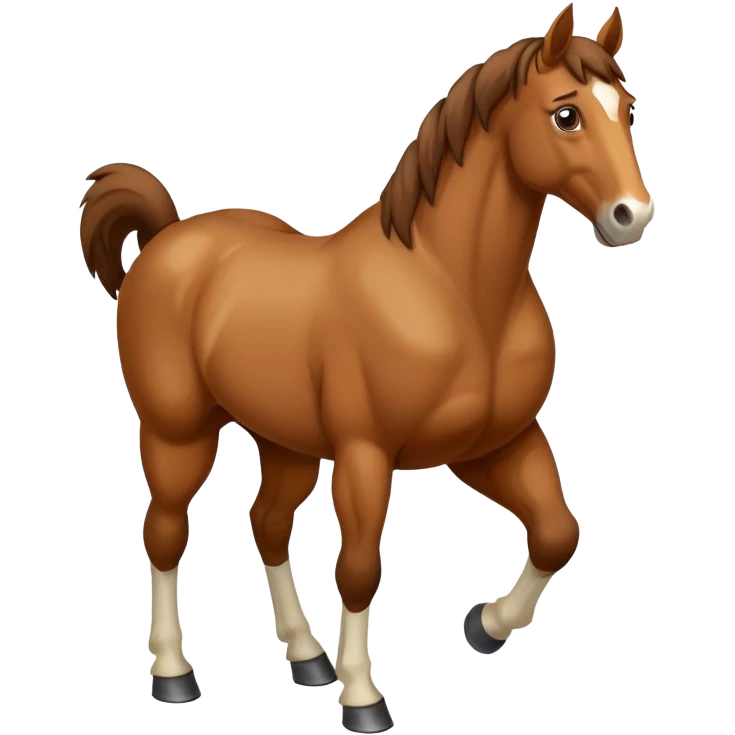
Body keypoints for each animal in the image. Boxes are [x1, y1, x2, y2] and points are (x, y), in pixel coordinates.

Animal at [78, 3, 653, 731]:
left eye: (627, 109)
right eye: (567, 115)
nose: (631, 216)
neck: (451, 289)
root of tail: (165, 240)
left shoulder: (496, 444)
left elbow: (556, 531)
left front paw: (484, 625)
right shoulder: (365, 455)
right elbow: (357, 568)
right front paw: (363, 697)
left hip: (286, 443)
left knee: (267, 524)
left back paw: (306, 657)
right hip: (177, 433)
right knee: (163, 531)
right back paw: (174, 673)